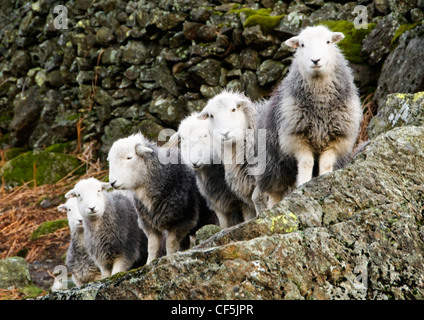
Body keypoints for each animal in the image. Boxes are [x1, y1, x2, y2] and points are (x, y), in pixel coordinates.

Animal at [107, 131, 217, 264]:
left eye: (129, 157)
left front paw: (169, 258)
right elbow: (152, 247)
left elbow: (170, 244)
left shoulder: (184, 220)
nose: (112, 182)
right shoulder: (149, 224)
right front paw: (149, 263)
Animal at [255, 25, 362, 208]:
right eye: (302, 45)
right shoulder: (297, 138)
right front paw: (304, 184)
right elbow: (306, 163)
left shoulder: (336, 138)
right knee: (275, 192)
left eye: (328, 42)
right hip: (273, 165)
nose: (315, 60)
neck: (320, 105)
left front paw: (324, 179)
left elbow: (325, 164)